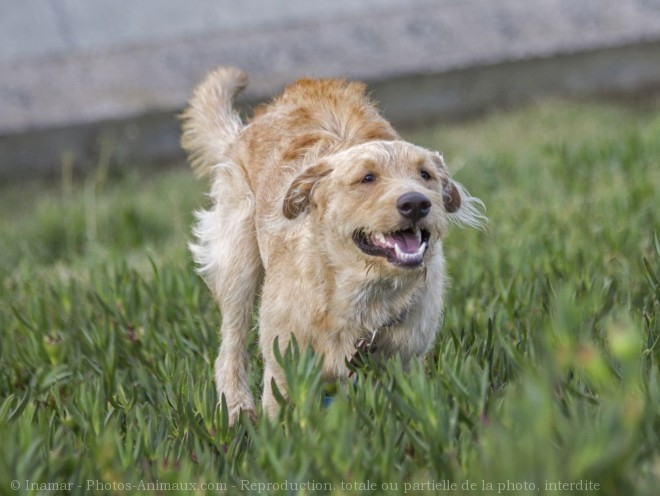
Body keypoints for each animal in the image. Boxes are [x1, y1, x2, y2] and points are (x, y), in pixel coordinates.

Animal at [183, 65, 482, 422]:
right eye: (367, 178)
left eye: (425, 175)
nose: (416, 203)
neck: (363, 296)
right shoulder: (284, 368)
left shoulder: (405, 364)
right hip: (237, 262)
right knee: (230, 344)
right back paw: (237, 409)